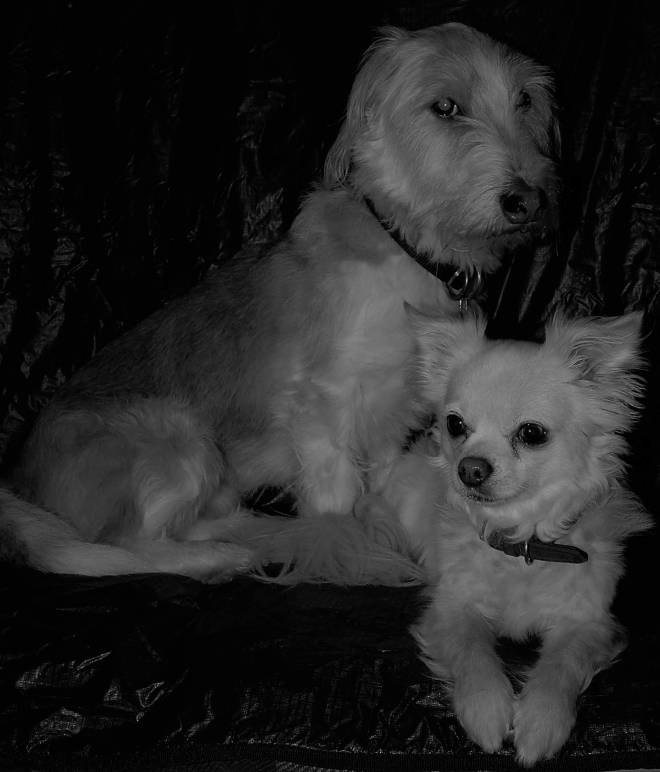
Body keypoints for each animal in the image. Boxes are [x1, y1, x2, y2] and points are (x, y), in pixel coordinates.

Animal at [2, 23, 558, 579]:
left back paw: (254, 533)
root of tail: (20, 483)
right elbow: (336, 502)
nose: (528, 201)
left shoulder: (389, 416)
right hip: (182, 440)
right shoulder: (325, 406)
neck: (405, 246)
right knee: (122, 546)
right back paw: (221, 558)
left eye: (524, 101)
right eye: (445, 106)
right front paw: (347, 549)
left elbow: (380, 486)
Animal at [360, 309, 652, 765]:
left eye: (531, 433)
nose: (470, 469)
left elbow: (560, 666)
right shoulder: (452, 608)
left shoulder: (587, 622)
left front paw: (540, 723)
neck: (521, 544)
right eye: (455, 424)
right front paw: (487, 711)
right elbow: (473, 654)